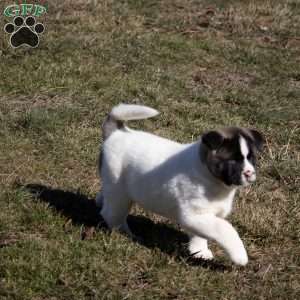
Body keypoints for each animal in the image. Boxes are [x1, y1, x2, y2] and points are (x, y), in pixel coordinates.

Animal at [97, 104, 264, 266]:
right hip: (119, 191)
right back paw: (125, 234)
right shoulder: (193, 215)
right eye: (233, 160)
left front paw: (200, 251)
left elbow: (200, 235)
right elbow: (225, 228)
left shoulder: (201, 218)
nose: (249, 173)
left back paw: (100, 200)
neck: (207, 174)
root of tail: (117, 133)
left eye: (251, 158)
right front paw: (239, 255)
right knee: (112, 214)